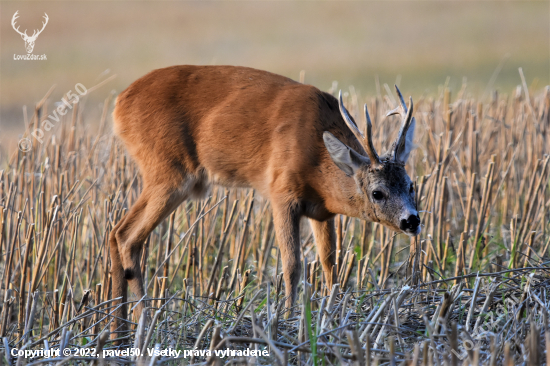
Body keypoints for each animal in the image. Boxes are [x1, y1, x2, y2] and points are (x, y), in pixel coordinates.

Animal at [110, 65, 420, 334]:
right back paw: (143, 323)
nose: (412, 221)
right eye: (377, 193)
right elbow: (292, 264)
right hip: (167, 171)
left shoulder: (322, 212)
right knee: (127, 235)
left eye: (411, 185)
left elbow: (330, 261)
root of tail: (119, 104)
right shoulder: (281, 192)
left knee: (115, 233)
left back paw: (119, 330)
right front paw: (290, 318)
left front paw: (334, 311)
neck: (318, 157)